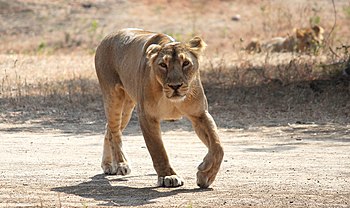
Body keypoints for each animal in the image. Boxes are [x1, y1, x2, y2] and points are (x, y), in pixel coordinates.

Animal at [94, 28, 223, 188]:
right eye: (163, 65)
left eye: (186, 63)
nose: (175, 86)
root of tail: (109, 35)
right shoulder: (147, 116)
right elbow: (158, 150)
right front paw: (168, 176)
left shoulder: (200, 114)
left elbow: (217, 146)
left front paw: (206, 174)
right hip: (113, 98)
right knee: (115, 132)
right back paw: (121, 164)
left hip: (127, 107)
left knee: (109, 130)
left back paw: (107, 165)